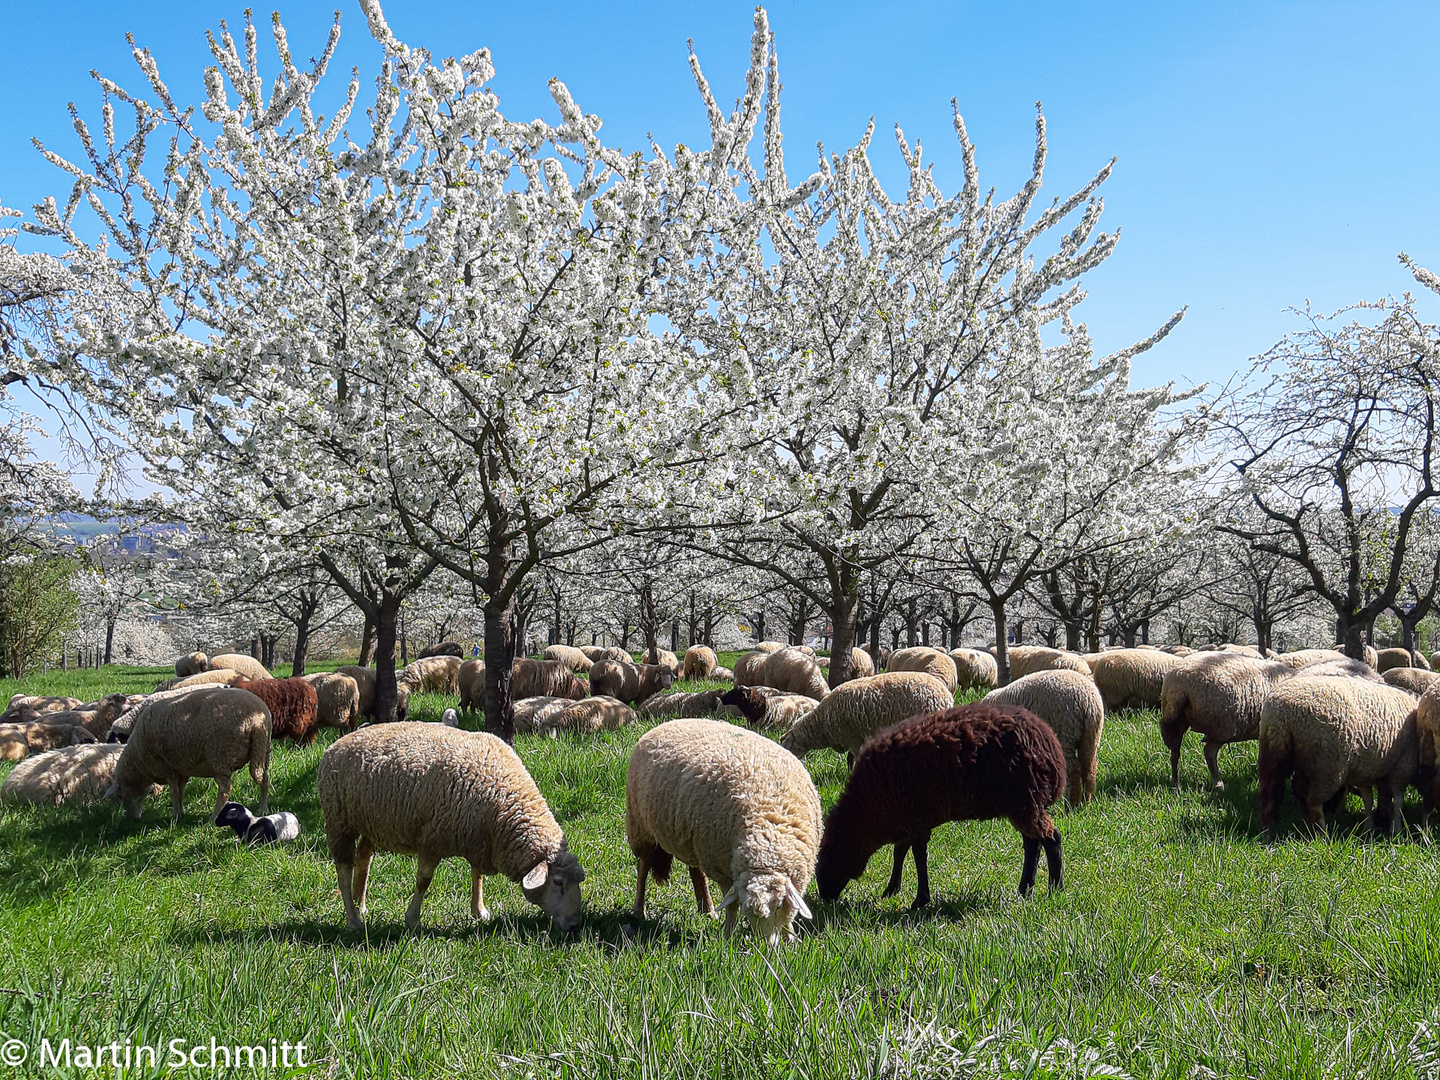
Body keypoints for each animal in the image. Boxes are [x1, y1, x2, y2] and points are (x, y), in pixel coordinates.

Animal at [627, 720, 823, 944]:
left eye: (779, 905)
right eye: (749, 913)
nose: (766, 947)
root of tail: (669, 722)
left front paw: (789, 938)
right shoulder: (723, 871)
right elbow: (731, 906)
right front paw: (728, 936)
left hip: (691, 835)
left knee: (696, 870)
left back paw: (707, 909)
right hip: (640, 825)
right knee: (643, 866)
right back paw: (639, 910)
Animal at [817, 702, 1065, 915]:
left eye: (828, 858)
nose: (825, 897)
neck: (866, 811)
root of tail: (1051, 746)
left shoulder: (916, 817)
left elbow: (917, 855)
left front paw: (920, 900)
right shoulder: (906, 818)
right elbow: (900, 852)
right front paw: (892, 889)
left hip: (1025, 799)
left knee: (1052, 838)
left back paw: (1055, 889)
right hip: (1024, 804)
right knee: (1033, 843)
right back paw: (1025, 889)